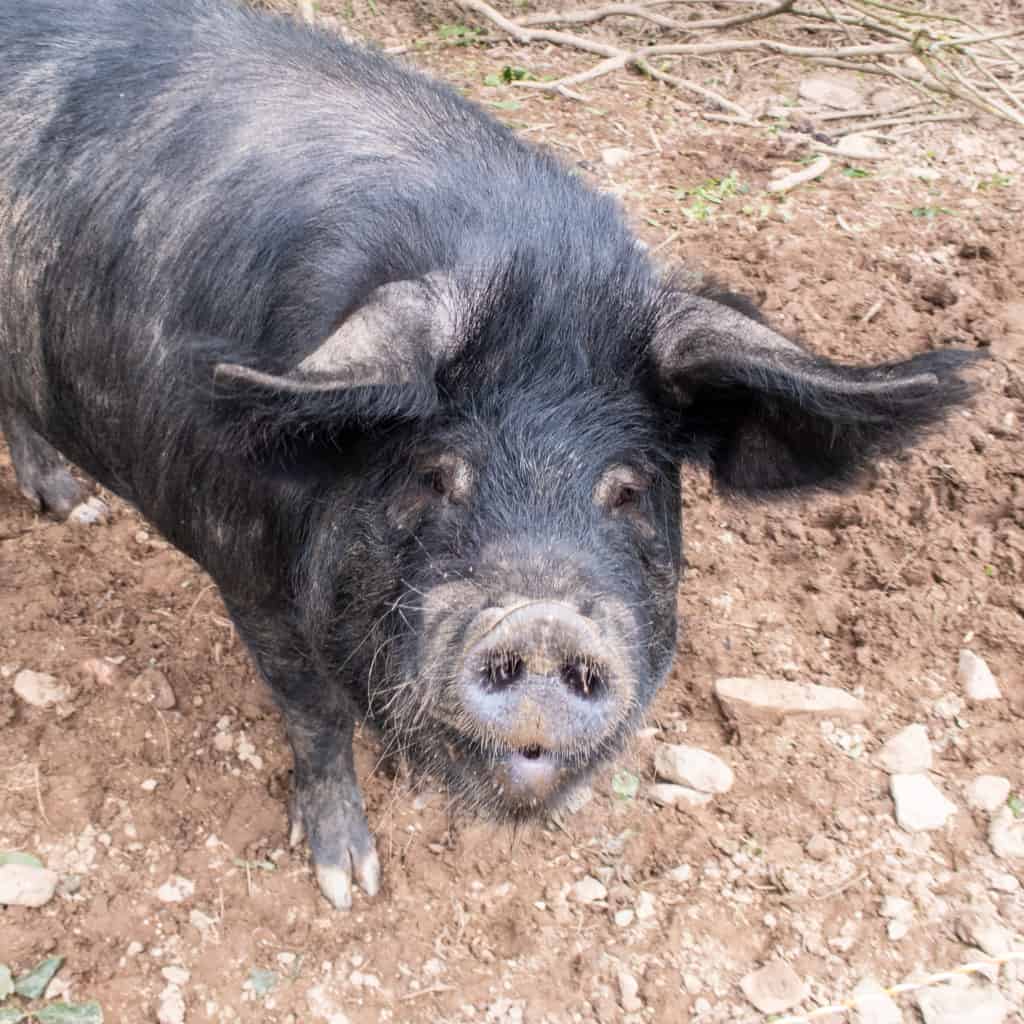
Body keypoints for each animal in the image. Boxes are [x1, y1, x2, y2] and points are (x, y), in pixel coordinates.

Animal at [0, 2, 974, 913]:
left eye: (627, 488)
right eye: (436, 476)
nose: (542, 623)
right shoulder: (245, 568)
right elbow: (313, 716)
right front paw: (351, 882)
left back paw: (73, 504)